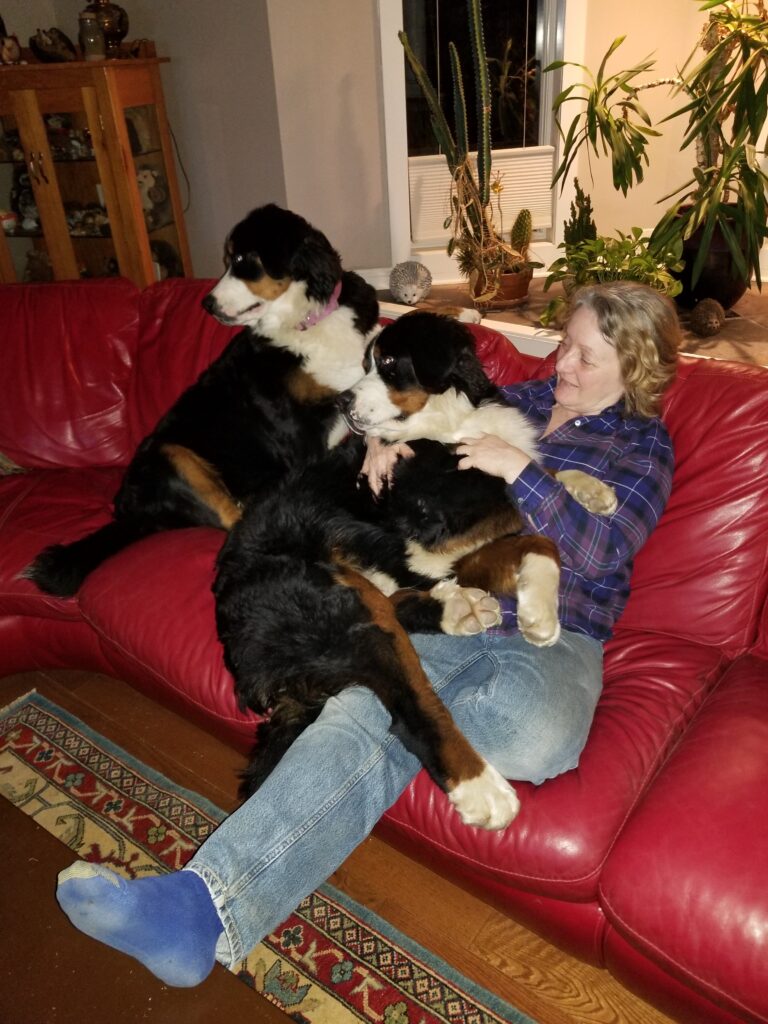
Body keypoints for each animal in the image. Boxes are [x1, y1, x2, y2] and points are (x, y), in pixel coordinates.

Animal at [26, 204, 380, 597]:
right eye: (226, 260)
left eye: (240, 260)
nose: (207, 304)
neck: (309, 321)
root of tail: (130, 511)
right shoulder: (300, 437)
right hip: (170, 456)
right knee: (237, 520)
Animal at [214, 312, 616, 828]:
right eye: (366, 362)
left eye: (386, 363)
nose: (342, 402)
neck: (450, 423)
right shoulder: (427, 538)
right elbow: (514, 501)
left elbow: (540, 526)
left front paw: (542, 604)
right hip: (337, 604)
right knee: (412, 700)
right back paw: (481, 788)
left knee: (399, 606)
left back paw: (458, 608)